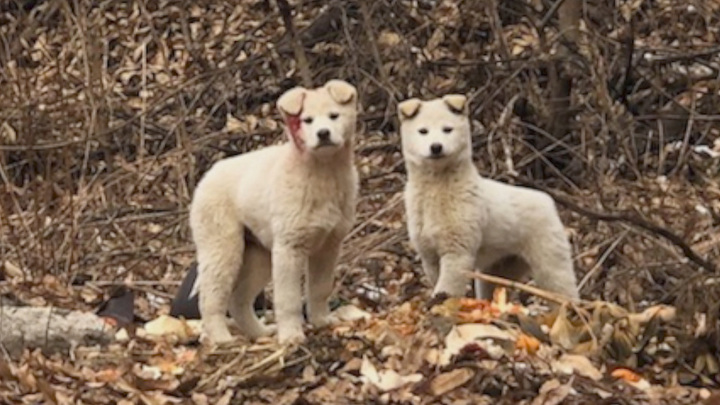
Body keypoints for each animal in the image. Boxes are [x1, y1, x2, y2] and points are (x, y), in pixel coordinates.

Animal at [190, 79, 358, 344]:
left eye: (334, 116)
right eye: (307, 120)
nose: (323, 134)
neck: (323, 172)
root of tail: (206, 176)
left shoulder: (329, 245)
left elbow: (320, 288)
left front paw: (321, 321)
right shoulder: (289, 247)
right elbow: (289, 298)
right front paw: (291, 336)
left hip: (259, 254)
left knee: (239, 300)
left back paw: (260, 333)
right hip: (223, 245)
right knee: (211, 295)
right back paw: (221, 338)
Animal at [396, 94, 584, 300]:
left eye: (447, 129)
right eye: (423, 131)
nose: (436, 147)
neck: (436, 187)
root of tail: (547, 199)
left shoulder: (458, 251)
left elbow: (449, 287)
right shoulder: (429, 255)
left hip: (549, 260)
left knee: (563, 289)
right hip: (497, 269)